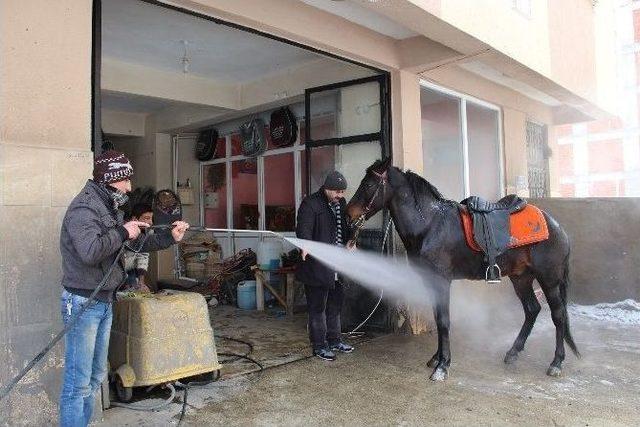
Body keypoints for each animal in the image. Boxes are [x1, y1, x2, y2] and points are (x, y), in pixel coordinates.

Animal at [344, 159, 580, 382]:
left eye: (368, 184)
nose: (348, 214)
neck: (430, 225)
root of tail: (557, 227)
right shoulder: (431, 281)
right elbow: (438, 318)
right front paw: (436, 358)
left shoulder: (441, 281)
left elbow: (443, 321)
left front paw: (443, 366)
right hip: (521, 278)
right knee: (532, 310)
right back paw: (513, 352)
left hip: (549, 280)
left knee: (558, 315)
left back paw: (556, 363)